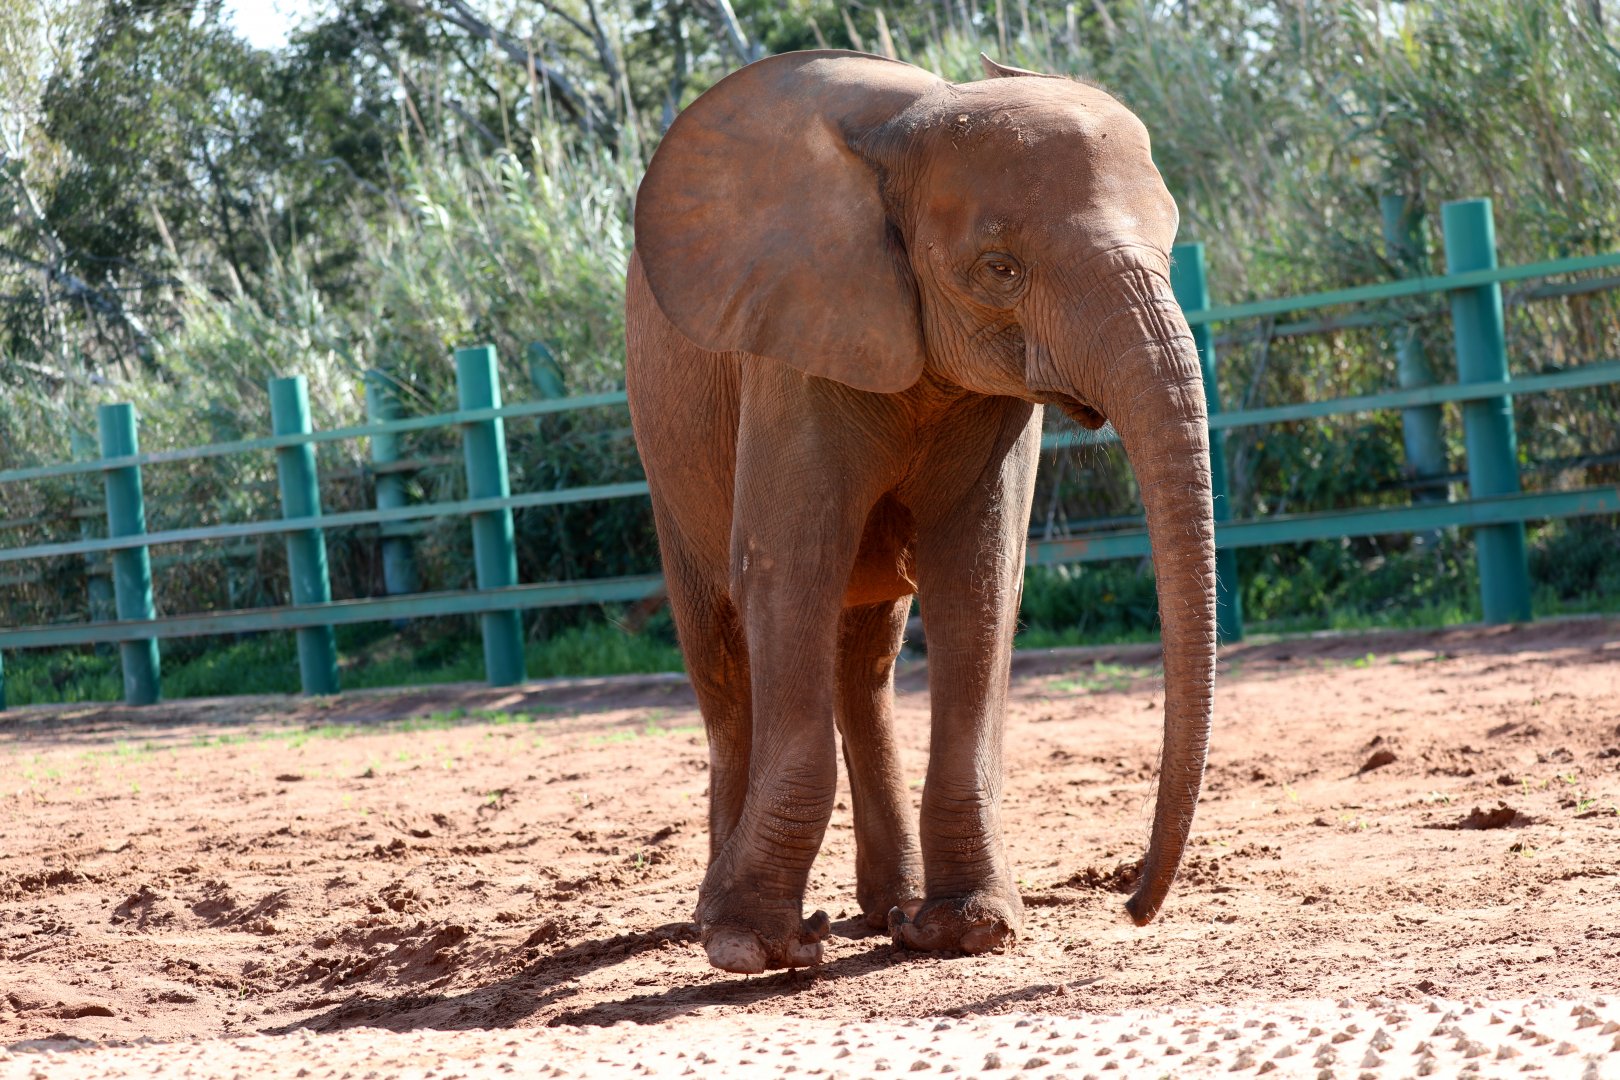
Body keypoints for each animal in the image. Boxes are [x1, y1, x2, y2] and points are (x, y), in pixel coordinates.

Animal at [625, 49, 1215, 975]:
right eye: (1000, 268)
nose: (1132, 906)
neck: (911, 130)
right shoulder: (795, 342)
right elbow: (787, 571)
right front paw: (756, 948)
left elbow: (977, 581)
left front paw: (962, 932)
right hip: (667, 460)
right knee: (721, 662)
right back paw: (715, 916)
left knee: (864, 663)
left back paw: (887, 909)